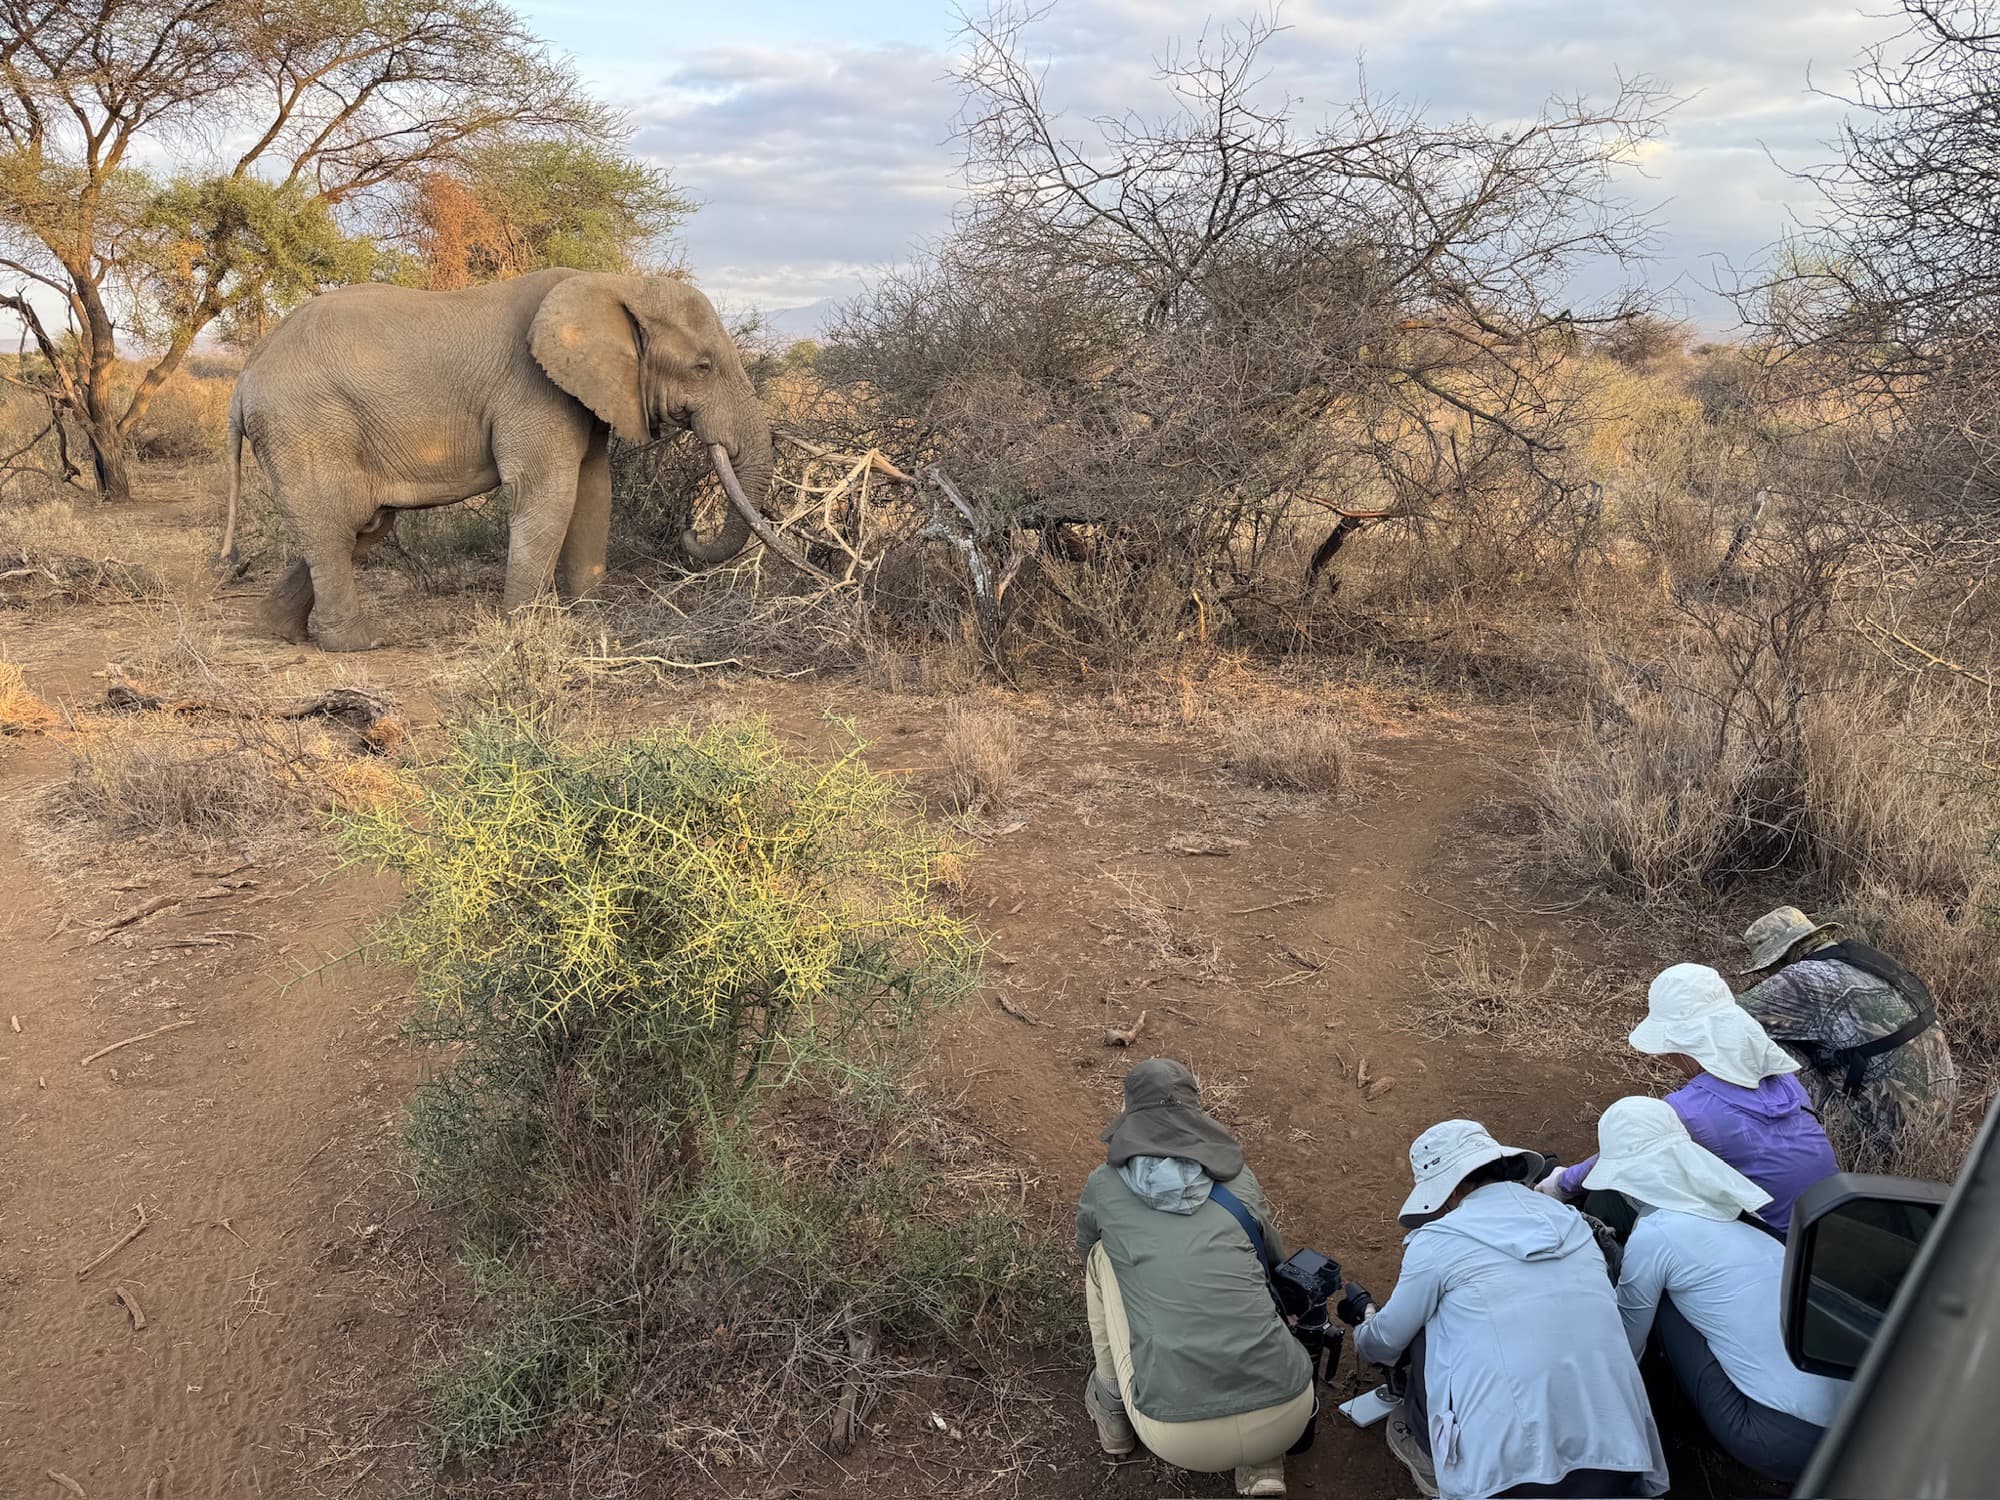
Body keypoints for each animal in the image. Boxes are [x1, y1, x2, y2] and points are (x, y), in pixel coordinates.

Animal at [219, 267, 774, 651]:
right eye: (703, 367)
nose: (690, 531)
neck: (616, 283)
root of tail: (243, 382)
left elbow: (593, 491)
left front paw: (590, 619)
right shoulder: (533, 391)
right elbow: (548, 493)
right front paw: (522, 630)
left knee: (362, 525)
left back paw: (278, 630)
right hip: (306, 426)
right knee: (339, 524)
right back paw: (359, 644)